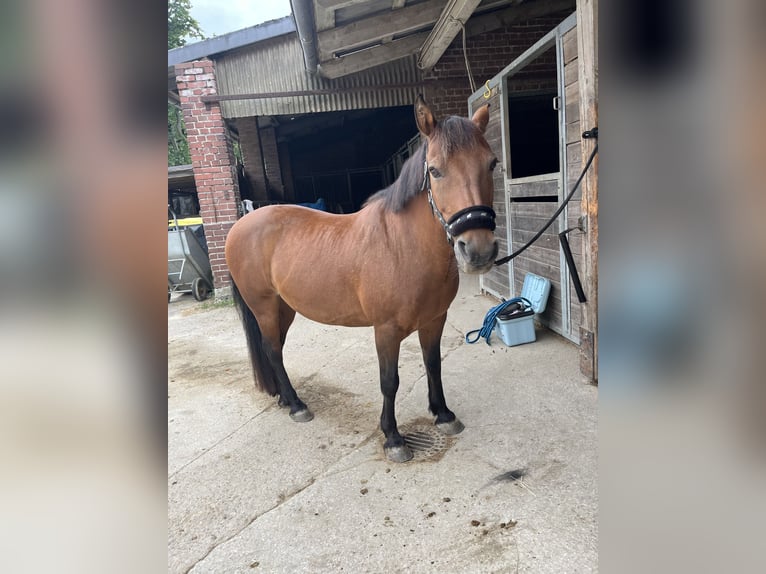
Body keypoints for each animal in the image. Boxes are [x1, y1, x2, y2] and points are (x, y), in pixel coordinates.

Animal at [225, 96, 498, 462]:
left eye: (491, 164)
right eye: (435, 170)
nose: (478, 250)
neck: (403, 246)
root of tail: (240, 225)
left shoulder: (434, 320)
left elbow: (433, 365)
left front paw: (443, 414)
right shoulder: (386, 330)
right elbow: (389, 381)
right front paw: (393, 438)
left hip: (284, 308)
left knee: (275, 349)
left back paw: (284, 398)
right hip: (264, 307)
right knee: (272, 350)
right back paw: (296, 405)